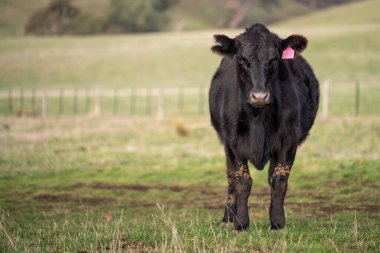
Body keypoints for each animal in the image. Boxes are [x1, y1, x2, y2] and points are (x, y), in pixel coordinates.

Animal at [209, 23, 320, 231]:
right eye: (242, 60)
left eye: (274, 59)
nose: (259, 96)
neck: (257, 119)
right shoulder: (232, 143)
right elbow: (241, 181)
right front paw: (240, 224)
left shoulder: (288, 141)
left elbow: (279, 180)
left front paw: (277, 222)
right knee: (230, 178)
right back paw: (227, 218)